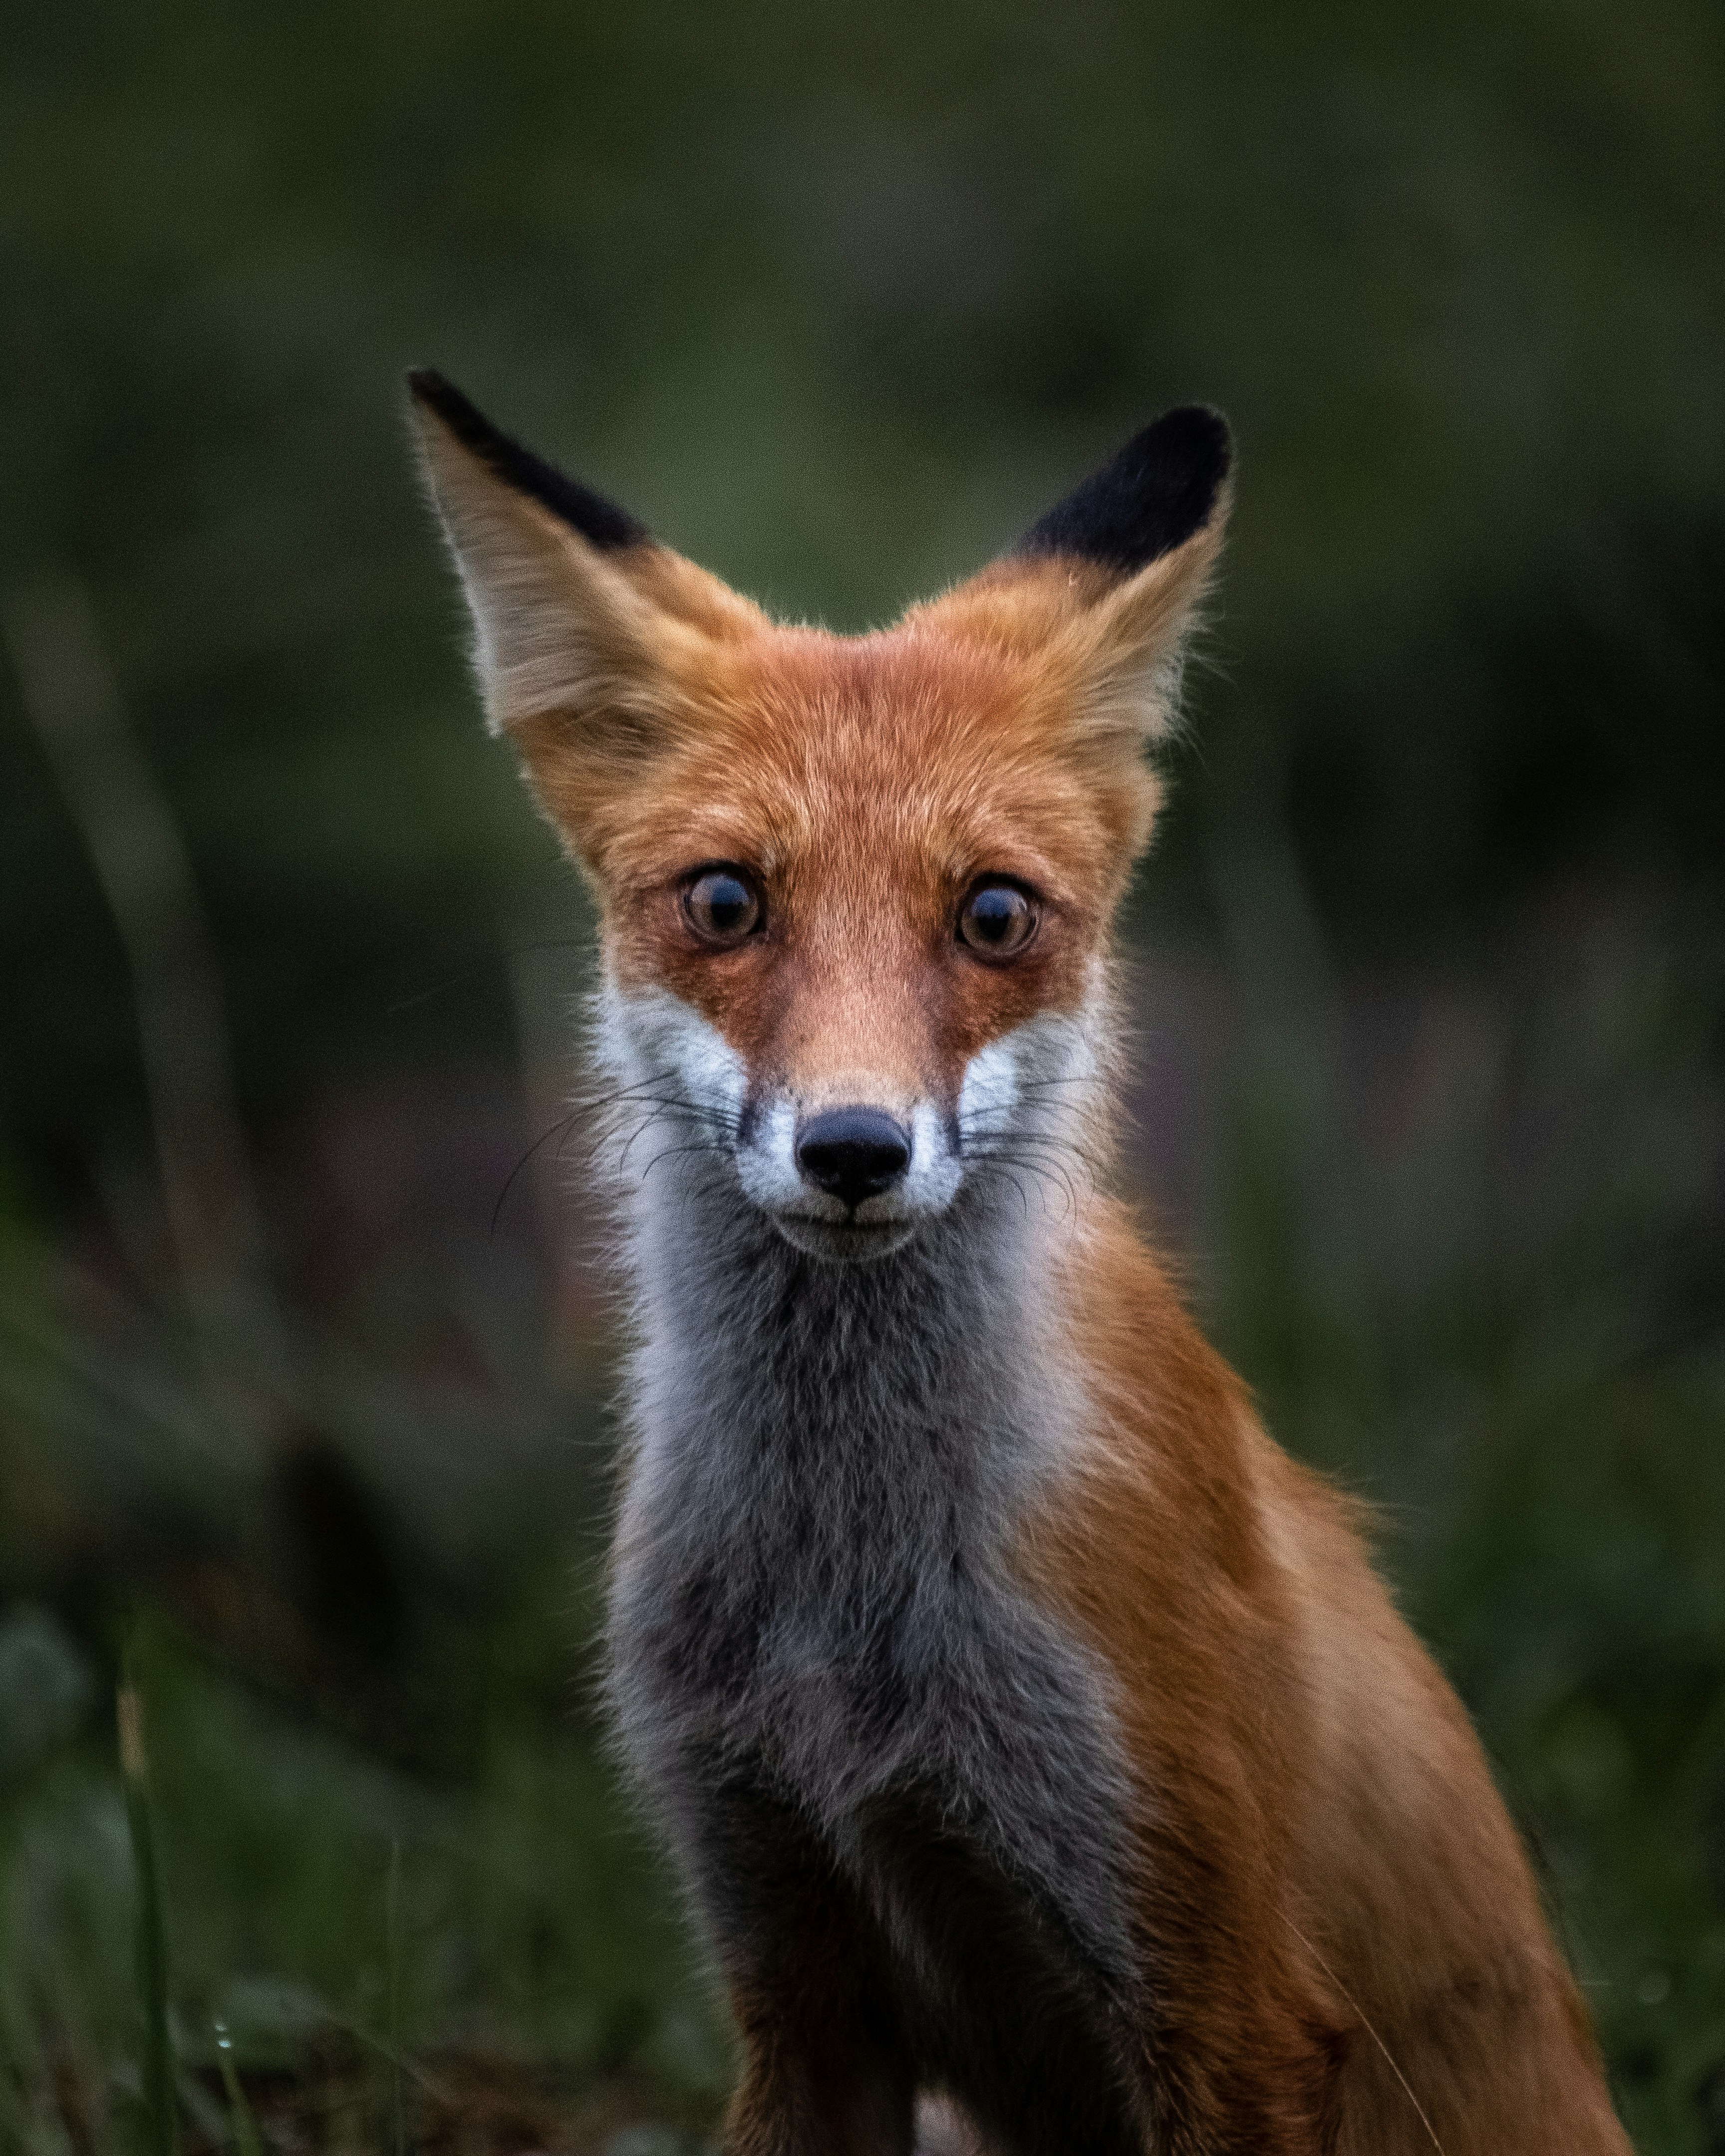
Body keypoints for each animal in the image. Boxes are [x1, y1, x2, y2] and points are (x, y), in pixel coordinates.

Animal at [407, 368, 1632, 2156]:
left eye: (992, 916)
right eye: (726, 902)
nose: (855, 1148)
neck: (848, 1607)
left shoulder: (1219, 1985)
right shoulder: (790, 1955)